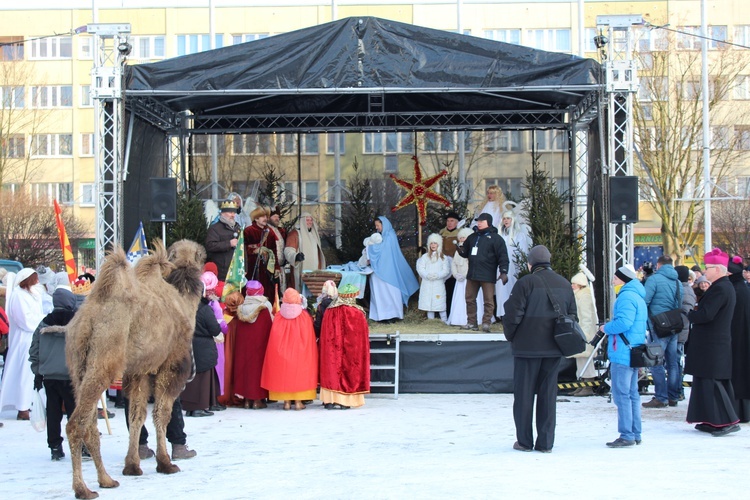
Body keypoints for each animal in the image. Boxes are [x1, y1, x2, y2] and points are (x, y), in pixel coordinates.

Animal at [64, 240, 206, 498]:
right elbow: (162, 413)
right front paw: (165, 463)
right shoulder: (170, 365)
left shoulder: (140, 371)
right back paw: (83, 489)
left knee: (91, 425)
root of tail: (87, 320)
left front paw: (132, 465)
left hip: (78, 367)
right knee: (76, 424)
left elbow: (136, 415)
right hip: (103, 362)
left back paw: (106, 480)